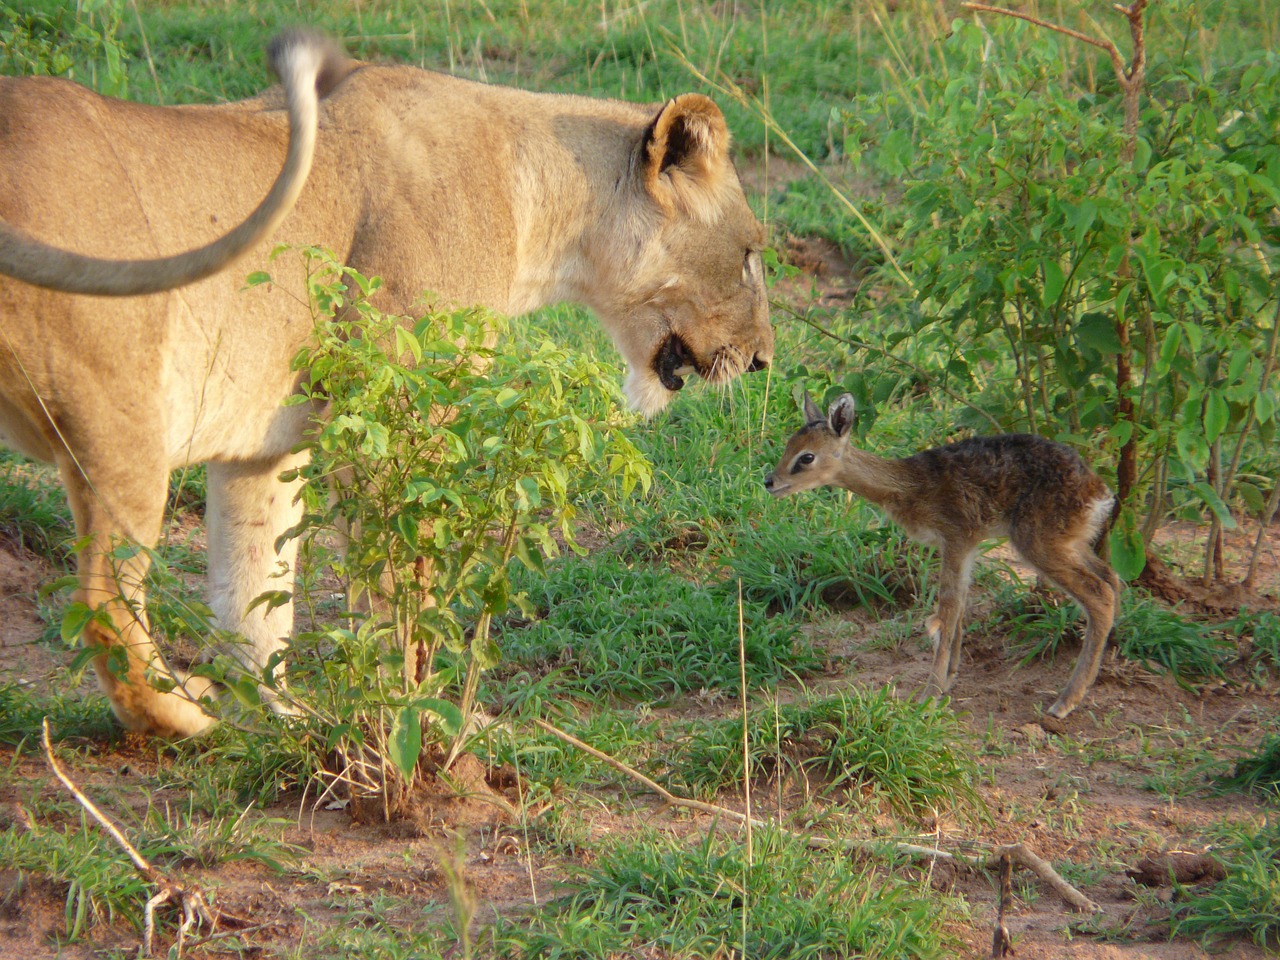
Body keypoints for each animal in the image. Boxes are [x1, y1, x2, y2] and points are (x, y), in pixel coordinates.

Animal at [762, 391, 1116, 721]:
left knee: (1100, 594)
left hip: (1038, 543)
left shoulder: (956, 538)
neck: (910, 486)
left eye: (806, 457)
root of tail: (1099, 493)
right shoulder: (966, 546)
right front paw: (948, 679)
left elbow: (947, 607)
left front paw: (929, 696)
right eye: (788, 445)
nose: (769, 481)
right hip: (1071, 543)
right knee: (1111, 577)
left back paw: (1064, 702)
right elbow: (957, 607)